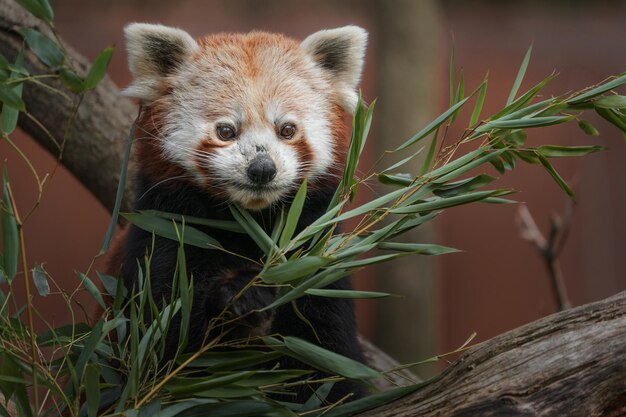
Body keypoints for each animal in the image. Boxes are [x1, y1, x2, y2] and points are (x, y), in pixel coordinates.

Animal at [111, 24, 366, 402]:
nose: (262, 169)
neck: (249, 225)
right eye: (226, 131)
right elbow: (166, 348)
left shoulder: (315, 259)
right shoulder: (166, 234)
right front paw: (242, 294)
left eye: (287, 130)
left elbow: (327, 359)